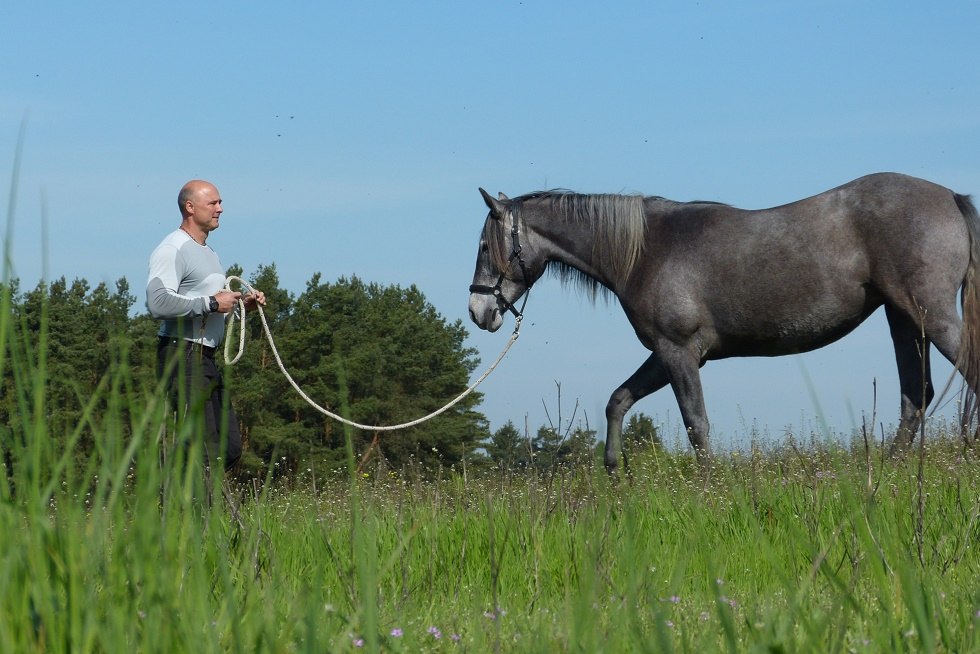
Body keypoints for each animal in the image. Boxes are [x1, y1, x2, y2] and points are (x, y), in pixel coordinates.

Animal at [468, 174, 980, 472]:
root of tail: (951, 198)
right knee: (915, 396)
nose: (478, 311)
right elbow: (618, 401)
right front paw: (613, 470)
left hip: (931, 315)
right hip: (904, 319)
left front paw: (708, 487)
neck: (645, 251)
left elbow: (696, 423)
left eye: (485, 245)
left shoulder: (677, 352)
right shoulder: (669, 355)